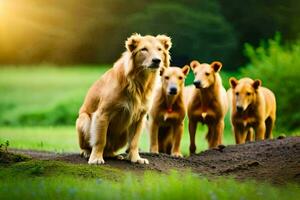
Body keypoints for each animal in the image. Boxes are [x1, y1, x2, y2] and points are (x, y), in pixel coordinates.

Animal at [75, 33, 171, 164]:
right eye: (144, 49)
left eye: (159, 49)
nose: (157, 60)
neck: (138, 82)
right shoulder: (102, 114)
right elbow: (100, 139)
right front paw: (96, 158)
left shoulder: (139, 118)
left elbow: (134, 142)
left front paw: (136, 158)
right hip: (84, 120)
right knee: (87, 145)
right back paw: (87, 152)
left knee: (110, 150)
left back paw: (114, 155)